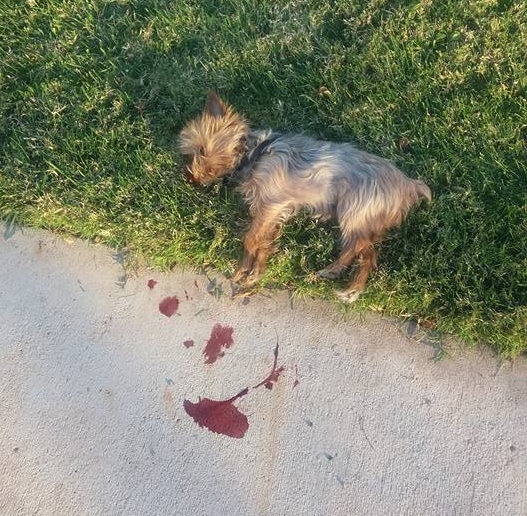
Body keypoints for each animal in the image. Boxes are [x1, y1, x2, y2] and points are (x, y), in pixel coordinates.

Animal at [179, 93, 432, 302]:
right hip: (363, 219)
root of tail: (409, 185)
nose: (189, 177)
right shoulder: (273, 214)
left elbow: (250, 239)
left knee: (361, 252)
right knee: (367, 254)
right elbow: (264, 243)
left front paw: (244, 270)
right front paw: (254, 272)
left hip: (354, 211)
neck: (256, 154)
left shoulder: (271, 205)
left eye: (201, 150)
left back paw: (340, 279)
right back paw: (348, 283)